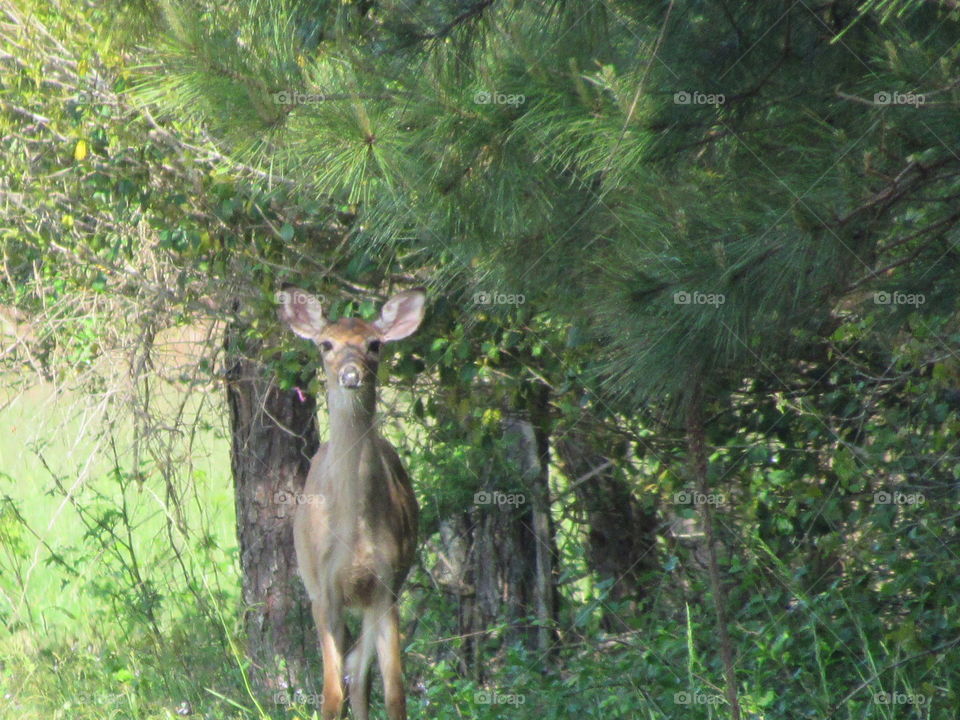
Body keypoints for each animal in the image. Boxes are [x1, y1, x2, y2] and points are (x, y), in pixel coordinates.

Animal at [278, 286, 424, 720]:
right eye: (326, 344)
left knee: (359, 672)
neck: (353, 531)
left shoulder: (386, 586)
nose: (350, 375)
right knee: (349, 673)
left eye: (374, 344)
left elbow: (394, 693)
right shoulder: (323, 591)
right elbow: (329, 694)